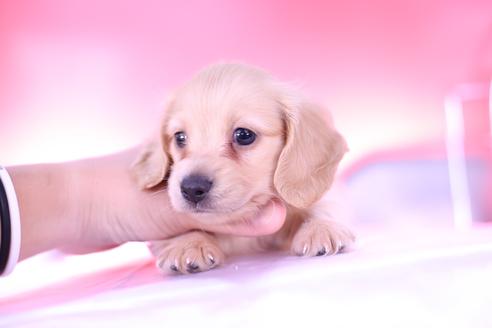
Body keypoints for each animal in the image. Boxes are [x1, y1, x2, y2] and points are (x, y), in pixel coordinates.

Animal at [131, 62, 354, 272]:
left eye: (244, 135)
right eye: (180, 137)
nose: (192, 188)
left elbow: (324, 205)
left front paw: (321, 228)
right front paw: (187, 245)